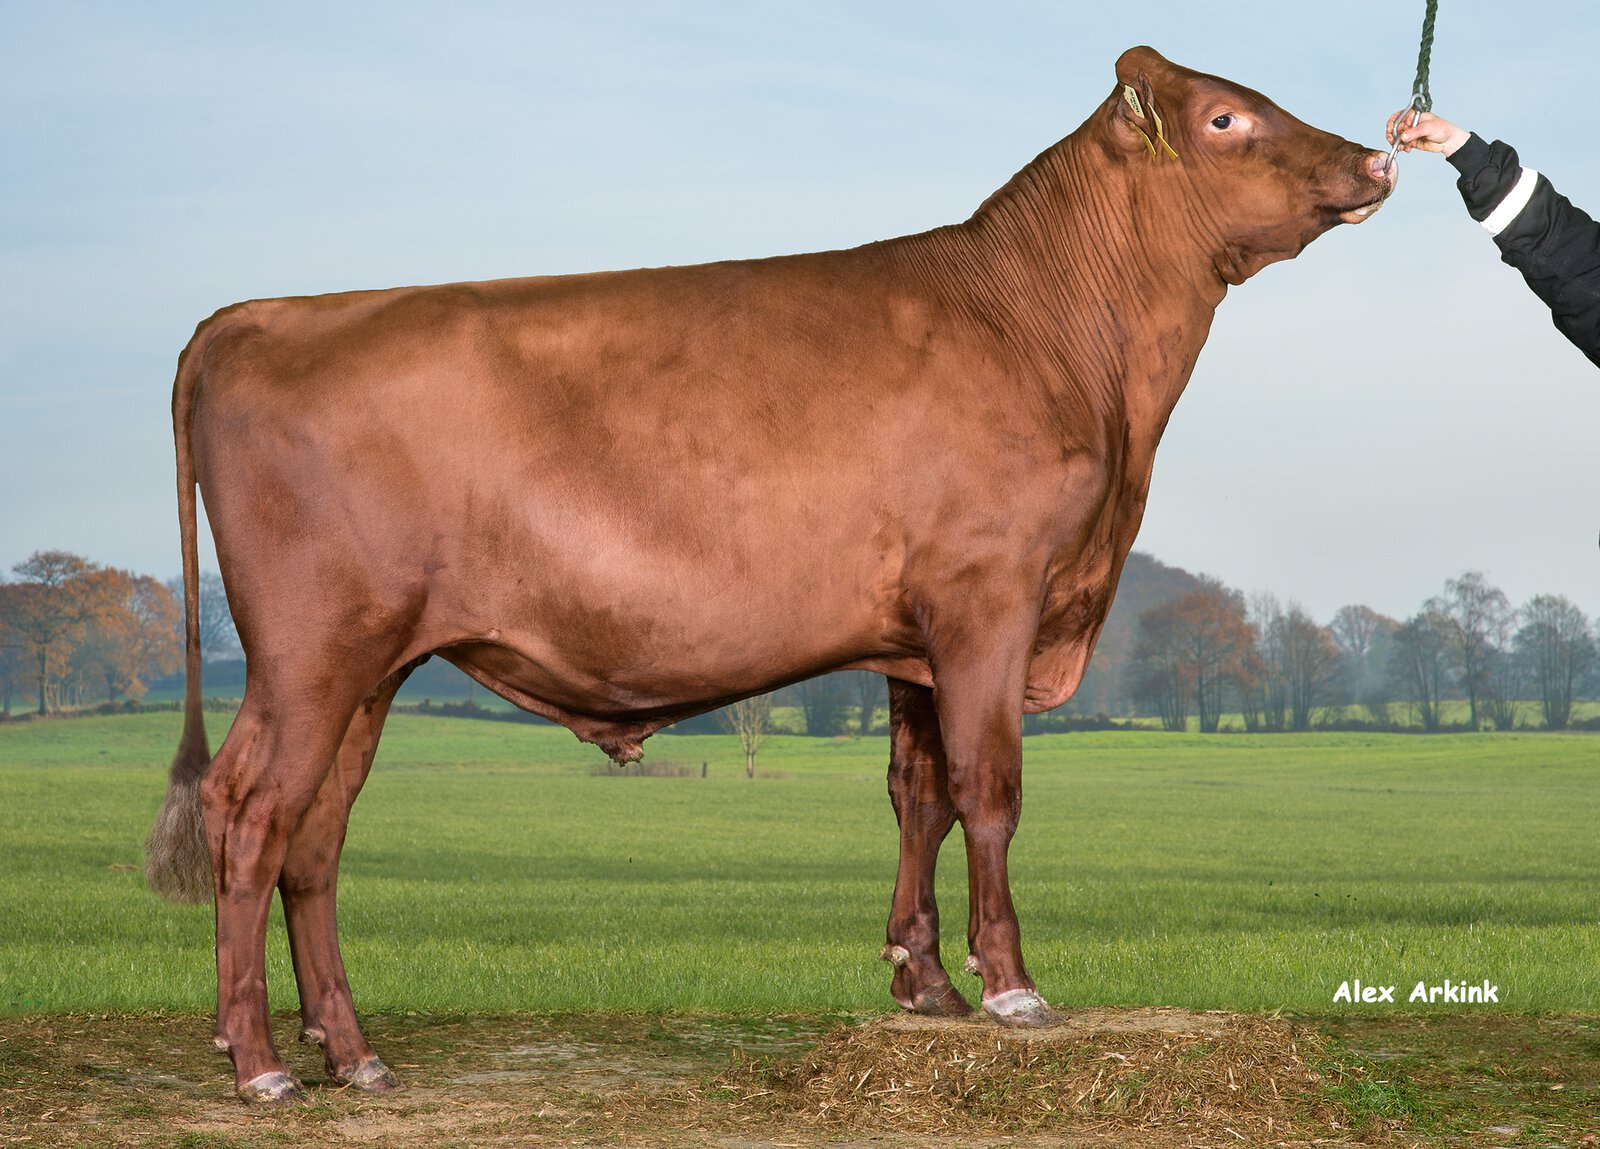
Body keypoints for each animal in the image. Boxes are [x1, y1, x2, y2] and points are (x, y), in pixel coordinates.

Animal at [146, 46, 1395, 1102]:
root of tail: (253, 315)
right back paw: (257, 1063)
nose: (1377, 157)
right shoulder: (989, 595)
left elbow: (917, 794)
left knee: (316, 834)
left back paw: (352, 1054)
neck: (1057, 338)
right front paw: (1011, 989)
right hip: (310, 649)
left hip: (371, 665)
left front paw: (924, 986)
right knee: (249, 812)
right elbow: (988, 788)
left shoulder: (914, 638)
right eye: (1226, 116)